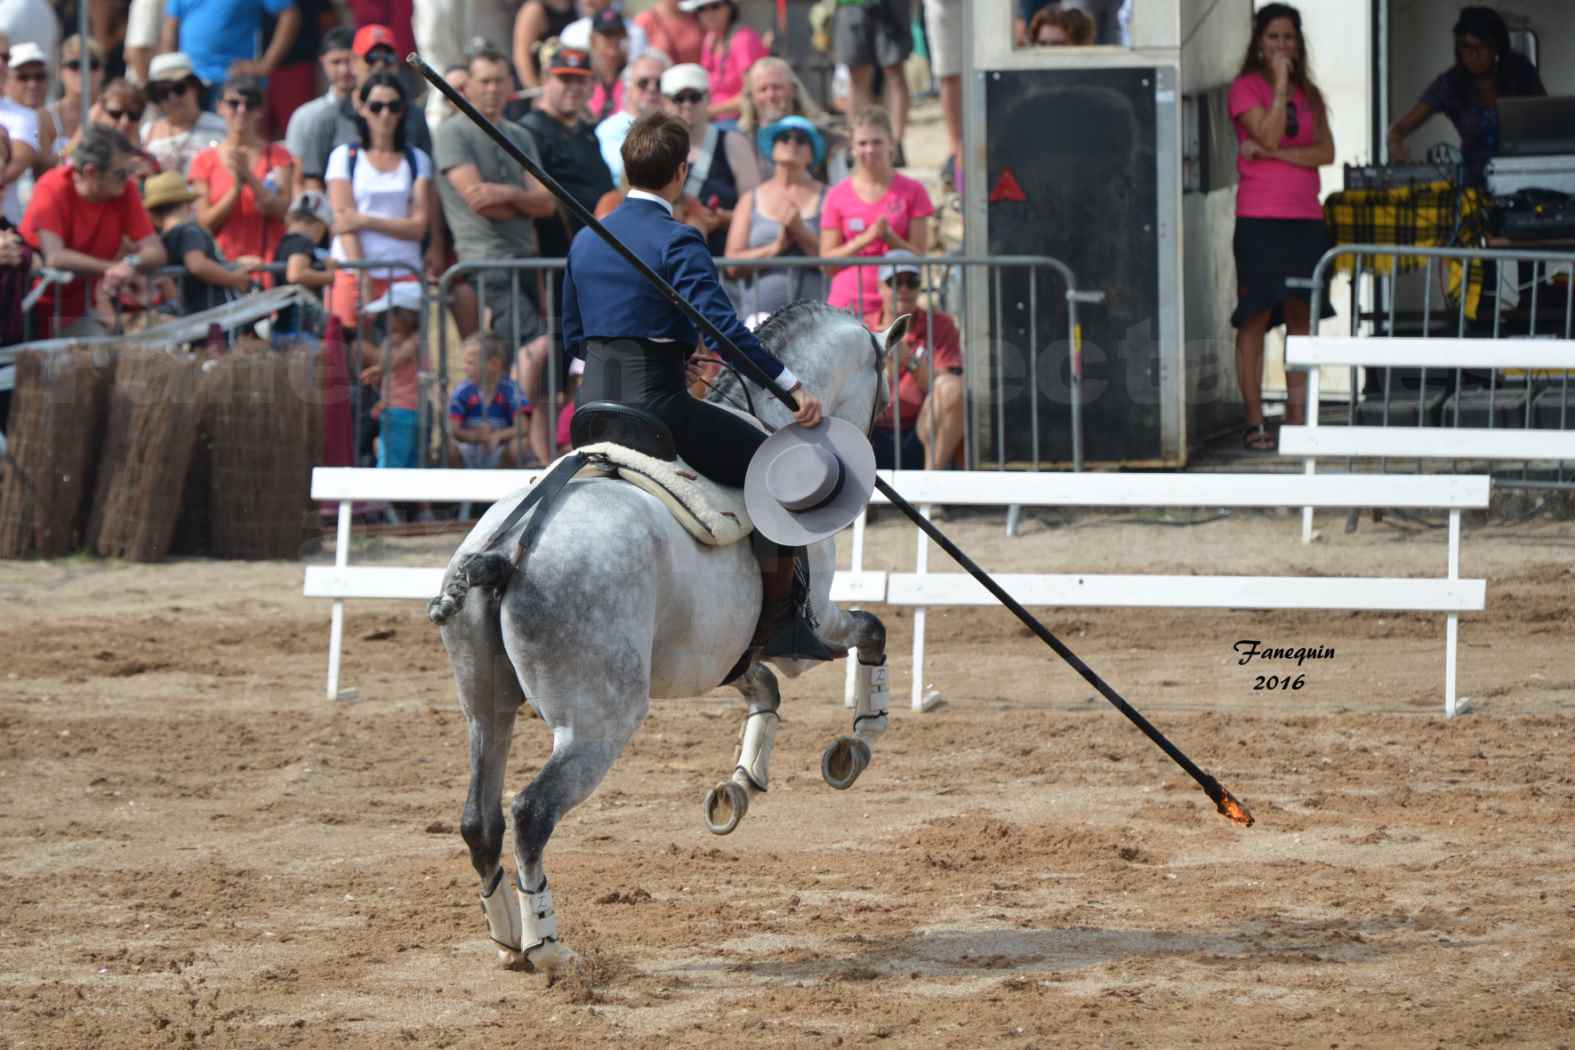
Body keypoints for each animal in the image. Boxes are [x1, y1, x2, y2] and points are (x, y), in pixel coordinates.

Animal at [431, 299, 907, 976]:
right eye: (884, 389)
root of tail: (505, 548)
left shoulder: (723, 653)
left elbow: (762, 689)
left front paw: (739, 785)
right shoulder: (812, 624)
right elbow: (870, 632)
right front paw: (858, 741)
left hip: (486, 710)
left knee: (480, 819)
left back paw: (506, 939)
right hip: (598, 722)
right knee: (530, 813)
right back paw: (548, 947)